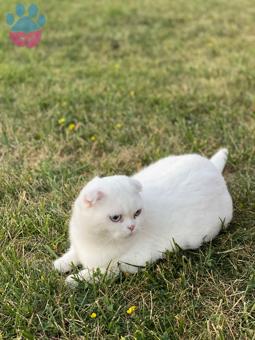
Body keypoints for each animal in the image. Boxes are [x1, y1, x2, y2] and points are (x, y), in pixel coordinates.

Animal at [53, 148, 233, 284]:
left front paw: (75, 279)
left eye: (137, 213)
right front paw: (60, 264)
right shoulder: (79, 244)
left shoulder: (130, 261)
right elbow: (73, 253)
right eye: (115, 218)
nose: (132, 227)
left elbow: (102, 271)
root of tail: (212, 167)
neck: (97, 239)